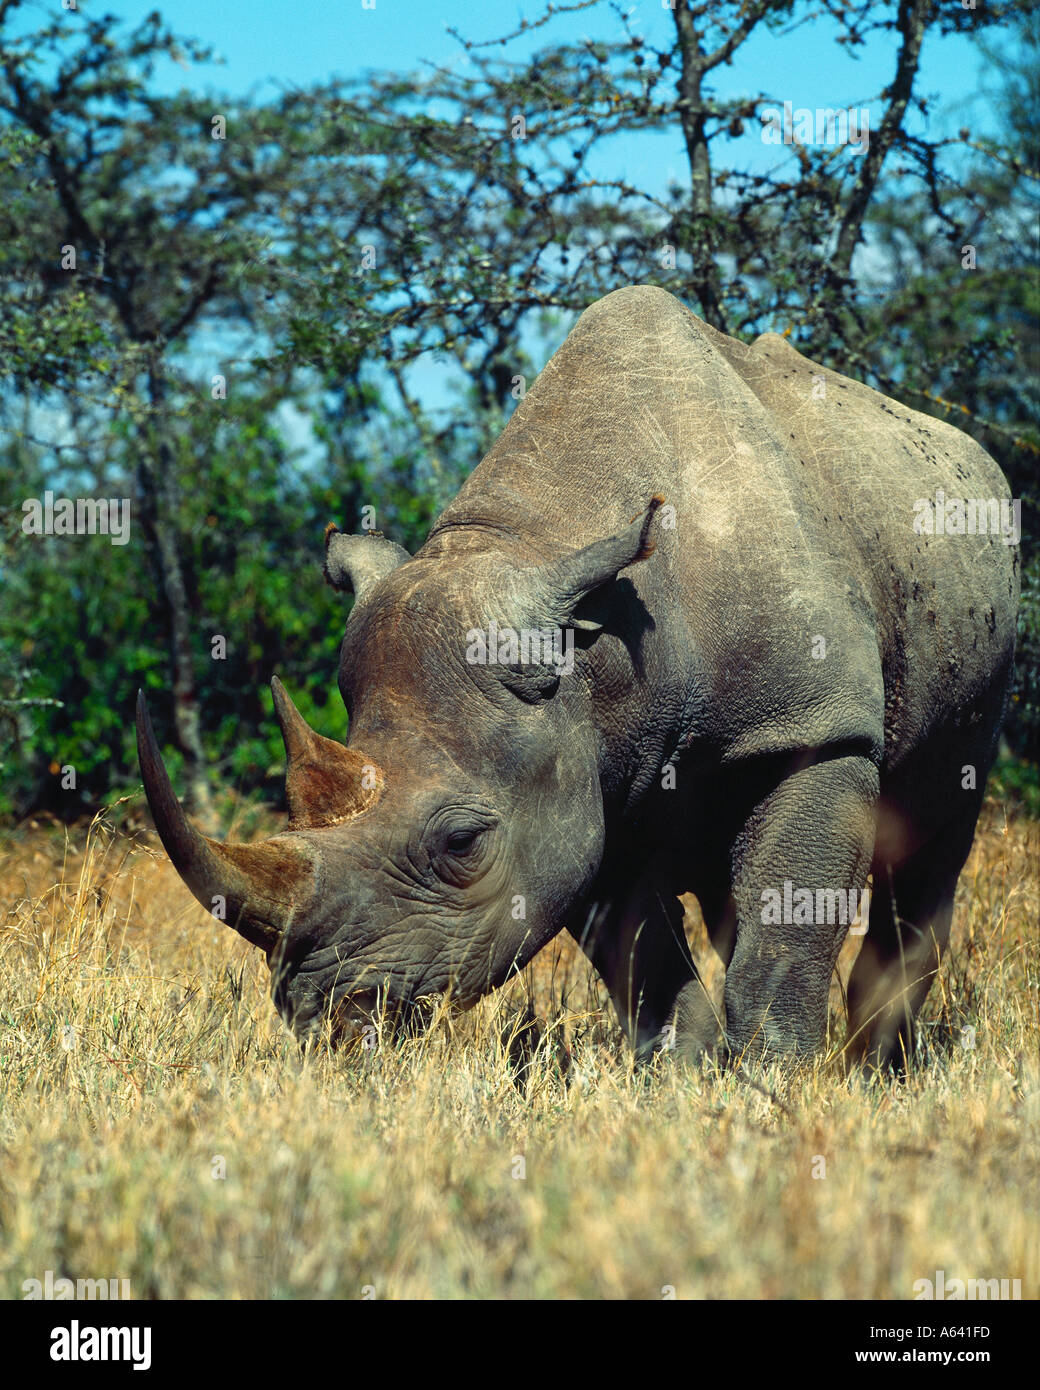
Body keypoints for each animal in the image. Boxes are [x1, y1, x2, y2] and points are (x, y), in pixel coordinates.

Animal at [134, 282, 1017, 1061]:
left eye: (462, 843)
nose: (331, 1018)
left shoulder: (814, 728)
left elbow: (783, 949)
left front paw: (777, 1085)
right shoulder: (578, 765)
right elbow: (645, 967)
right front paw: (687, 1082)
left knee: (934, 834)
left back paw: (877, 1069)